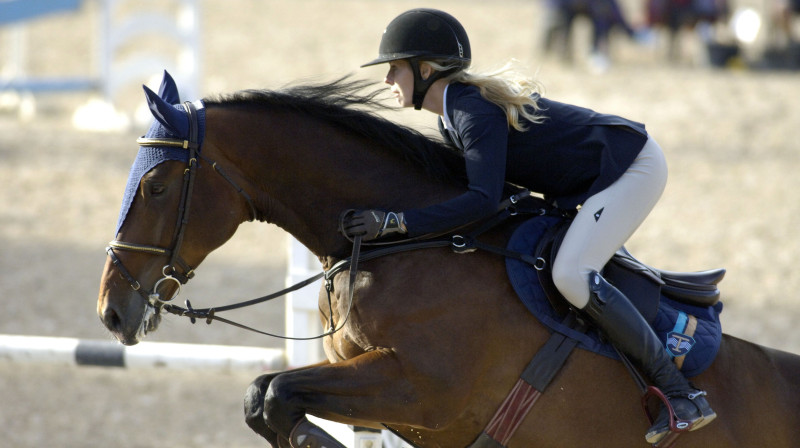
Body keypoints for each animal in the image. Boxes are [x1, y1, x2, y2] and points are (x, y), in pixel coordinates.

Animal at [98, 72, 800, 446]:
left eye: (156, 186)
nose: (110, 309)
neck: (399, 245)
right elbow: (266, 396)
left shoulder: (420, 387)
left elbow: (272, 393)